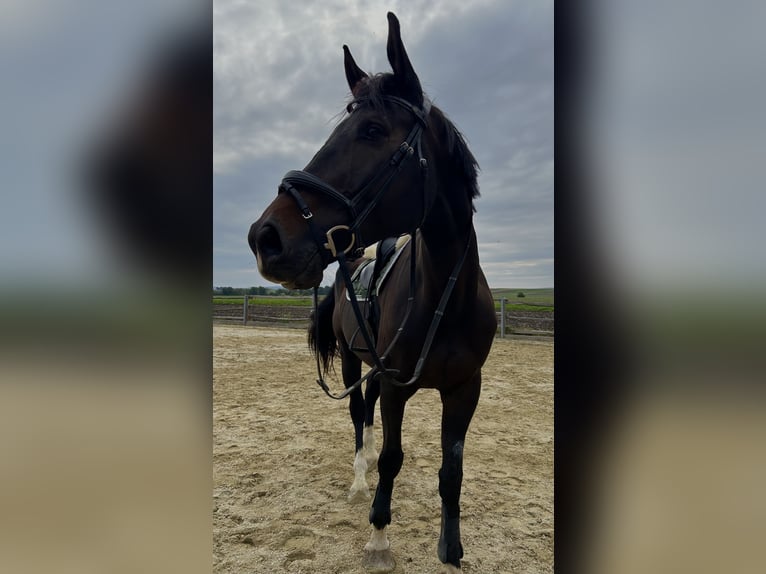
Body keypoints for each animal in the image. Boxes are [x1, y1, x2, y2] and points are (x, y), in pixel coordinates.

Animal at [248, 12, 496, 572]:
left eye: (373, 130)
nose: (265, 237)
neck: (445, 299)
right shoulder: (397, 386)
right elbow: (390, 456)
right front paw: (379, 532)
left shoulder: (463, 389)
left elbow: (452, 472)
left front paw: (451, 549)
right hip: (350, 361)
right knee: (359, 417)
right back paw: (361, 483)